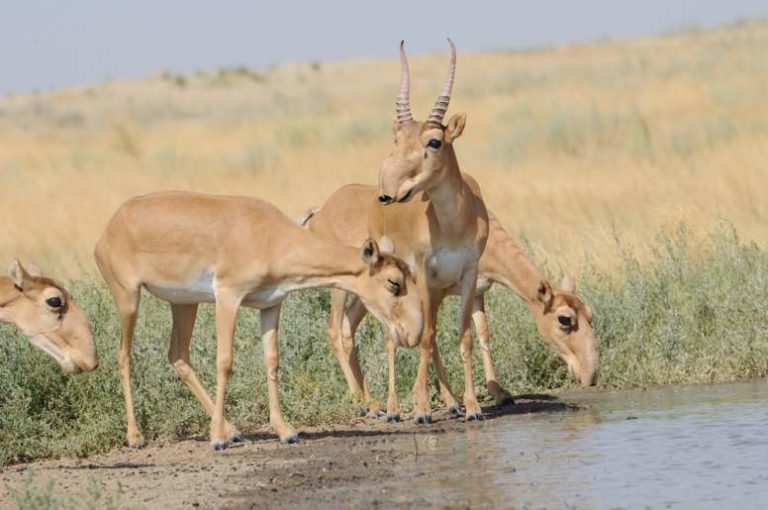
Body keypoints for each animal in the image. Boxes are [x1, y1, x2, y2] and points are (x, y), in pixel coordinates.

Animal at [94, 191, 423, 450]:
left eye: (410, 276)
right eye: (393, 282)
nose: (411, 335)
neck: (269, 236)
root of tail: (109, 229)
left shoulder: (271, 305)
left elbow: (272, 361)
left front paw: (285, 431)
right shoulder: (228, 298)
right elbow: (225, 362)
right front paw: (216, 439)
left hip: (184, 305)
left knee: (178, 356)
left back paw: (233, 430)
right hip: (129, 299)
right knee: (124, 355)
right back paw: (137, 437)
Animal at [302, 187, 598, 412]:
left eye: (590, 315)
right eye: (564, 319)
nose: (591, 375)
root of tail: (320, 210)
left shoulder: (477, 291)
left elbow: (482, 334)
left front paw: (499, 392)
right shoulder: (436, 292)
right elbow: (432, 339)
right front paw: (451, 400)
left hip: (368, 298)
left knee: (348, 327)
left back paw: (369, 397)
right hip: (340, 289)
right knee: (334, 330)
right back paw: (362, 400)